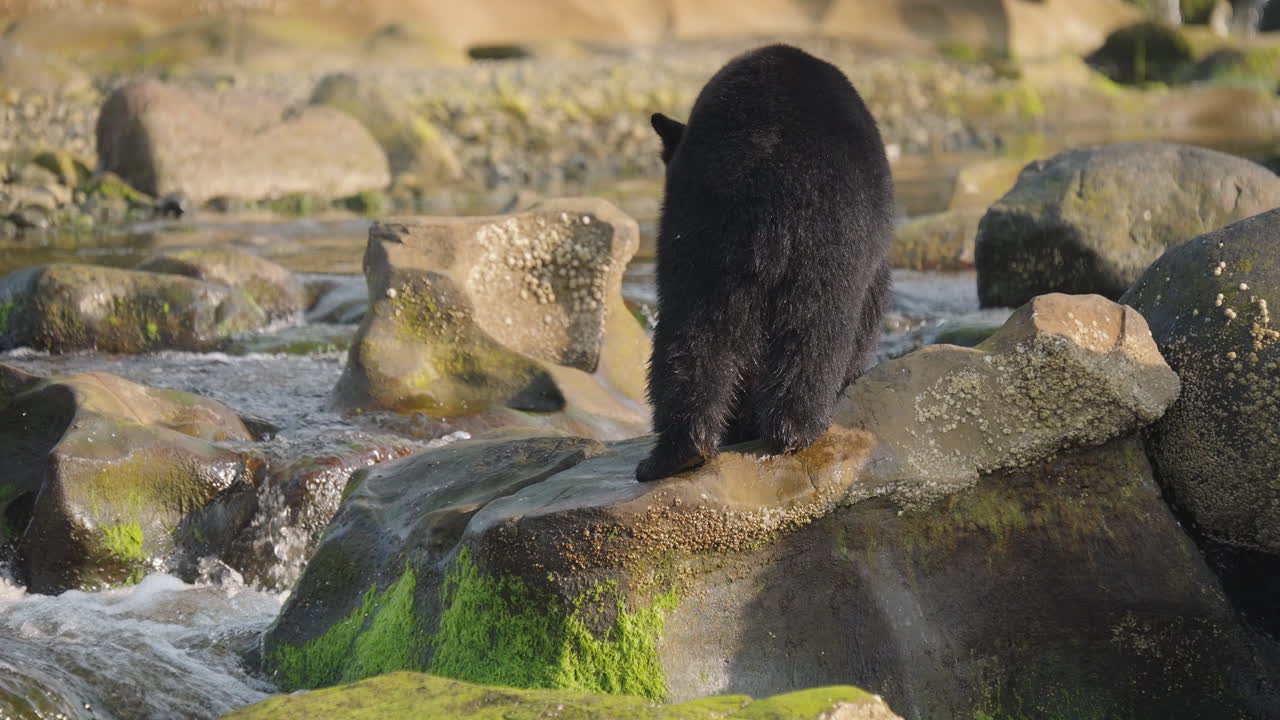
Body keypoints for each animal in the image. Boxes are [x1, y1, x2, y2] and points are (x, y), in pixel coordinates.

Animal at [636, 43, 895, 483]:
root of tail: (765, 152)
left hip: (701, 236)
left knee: (691, 331)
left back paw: (678, 451)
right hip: (829, 235)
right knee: (819, 325)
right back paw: (796, 430)